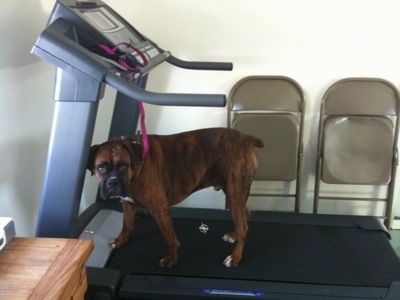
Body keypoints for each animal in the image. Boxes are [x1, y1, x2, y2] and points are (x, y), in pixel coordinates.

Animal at [87, 127, 262, 268]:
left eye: (123, 166)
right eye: (101, 168)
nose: (113, 182)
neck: (136, 164)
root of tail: (246, 138)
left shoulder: (159, 209)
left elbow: (169, 238)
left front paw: (171, 260)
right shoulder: (128, 204)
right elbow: (126, 225)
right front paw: (120, 241)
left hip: (235, 194)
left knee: (243, 226)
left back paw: (235, 257)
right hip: (235, 195)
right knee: (245, 217)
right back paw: (234, 236)